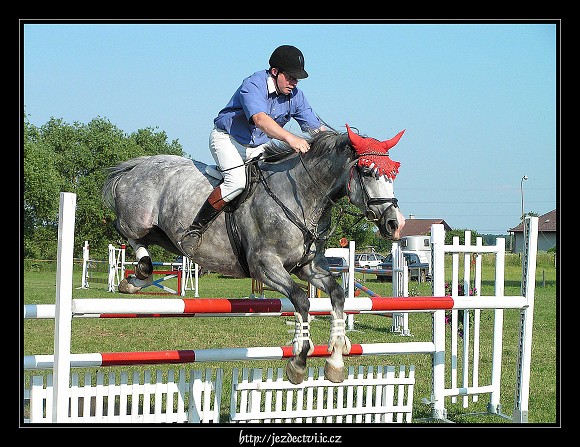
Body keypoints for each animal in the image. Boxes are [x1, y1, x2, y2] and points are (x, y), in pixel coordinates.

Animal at [102, 124, 406, 384]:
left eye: (393, 174)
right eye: (367, 172)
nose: (395, 224)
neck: (302, 196)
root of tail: (136, 165)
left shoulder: (309, 268)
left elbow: (338, 295)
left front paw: (335, 361)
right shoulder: (265, 266)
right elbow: (300, 300)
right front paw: (298, 361)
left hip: (163, 234)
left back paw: (134, 280)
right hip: (138, 219)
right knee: (124, 230)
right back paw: (138, 274)